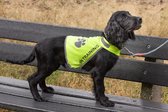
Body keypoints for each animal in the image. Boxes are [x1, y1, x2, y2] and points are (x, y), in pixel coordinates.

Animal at [8, 10, 142, 106]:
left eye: (130, 14)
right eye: (124, 17)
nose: (140, 19)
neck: (109, 40)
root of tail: (37, 45)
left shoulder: (95, 74)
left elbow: (96, 88)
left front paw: (99, 100)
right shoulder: (99, 72)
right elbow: (101, 87)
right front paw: (105, 102)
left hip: (48, 66)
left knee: (38, 79)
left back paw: (46, 90)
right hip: (47, 66)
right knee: (32, 80)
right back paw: (38, 98)